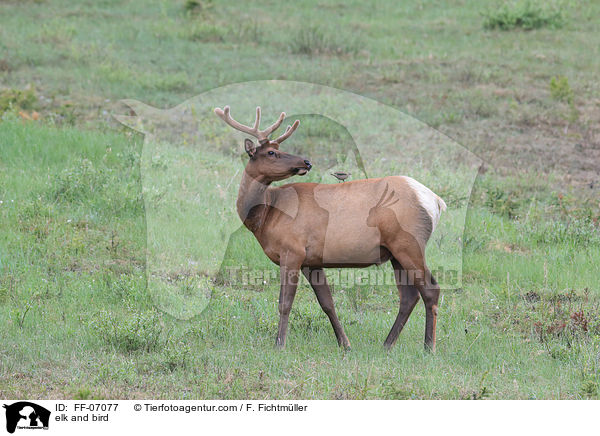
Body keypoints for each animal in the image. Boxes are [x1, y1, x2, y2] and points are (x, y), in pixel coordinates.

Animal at [214, 107, 446, 352]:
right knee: (409, 296)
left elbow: (285, 302)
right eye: (271, 152)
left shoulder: (292, 250)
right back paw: (387, 344)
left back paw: (429, 347)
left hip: (409, 243)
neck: (266, 215)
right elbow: (327, 303)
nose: (306, 162)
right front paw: (345, 344)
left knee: (430, 289)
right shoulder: (311, 261)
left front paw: (279, 344)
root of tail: (436, 201)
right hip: (395, 253)